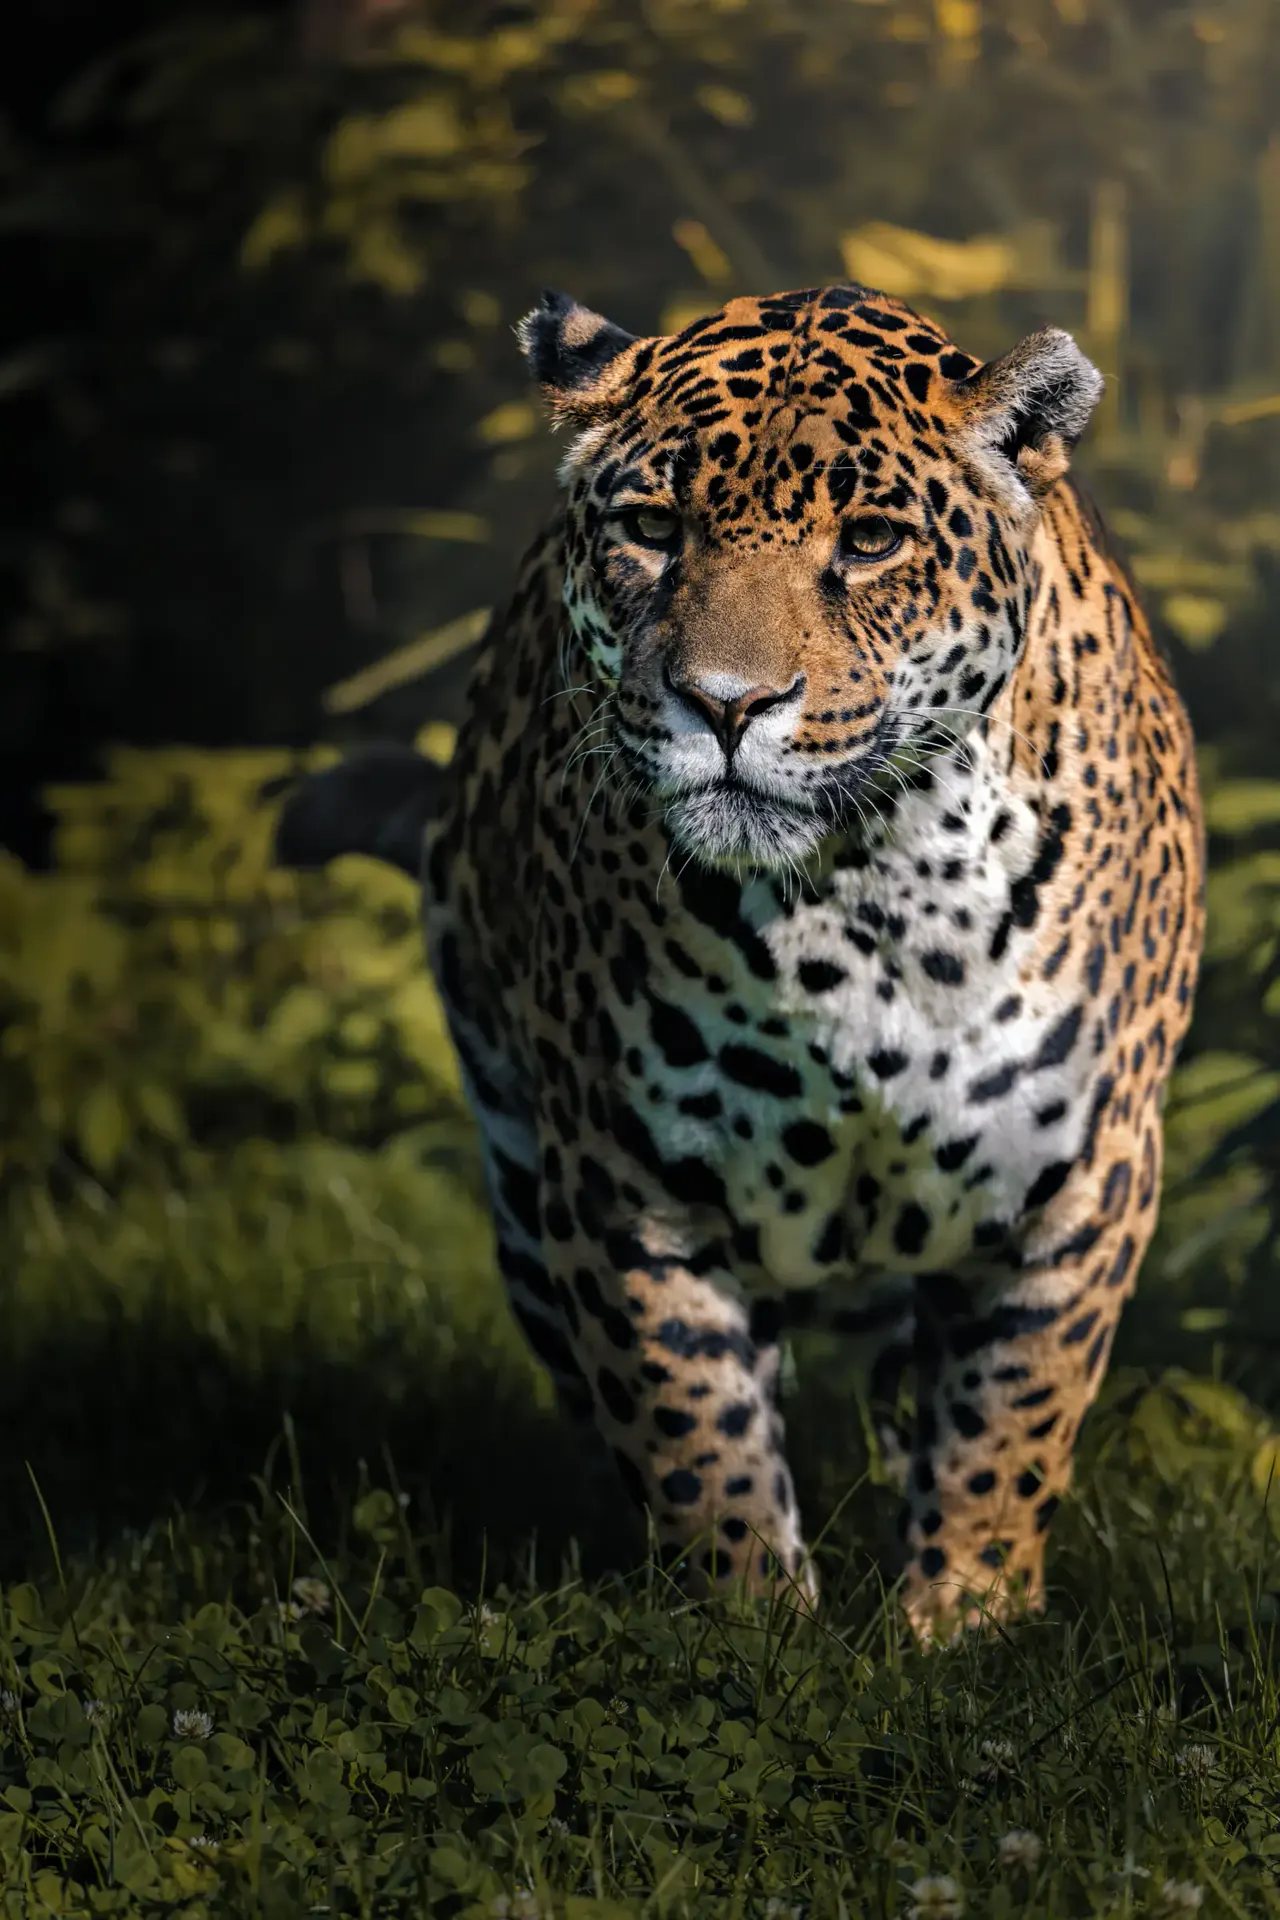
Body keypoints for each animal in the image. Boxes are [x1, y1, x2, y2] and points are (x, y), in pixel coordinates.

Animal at [277, 281, 1205, 1640]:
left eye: (868, 542)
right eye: (651, 529)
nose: (723, 704)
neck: (871, 897)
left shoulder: (1077, 1185)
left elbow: (1007, 1421)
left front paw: (962, 1623)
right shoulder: (627, 1188)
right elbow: (691, 1432)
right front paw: (749, 1632)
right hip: (518, 1182)